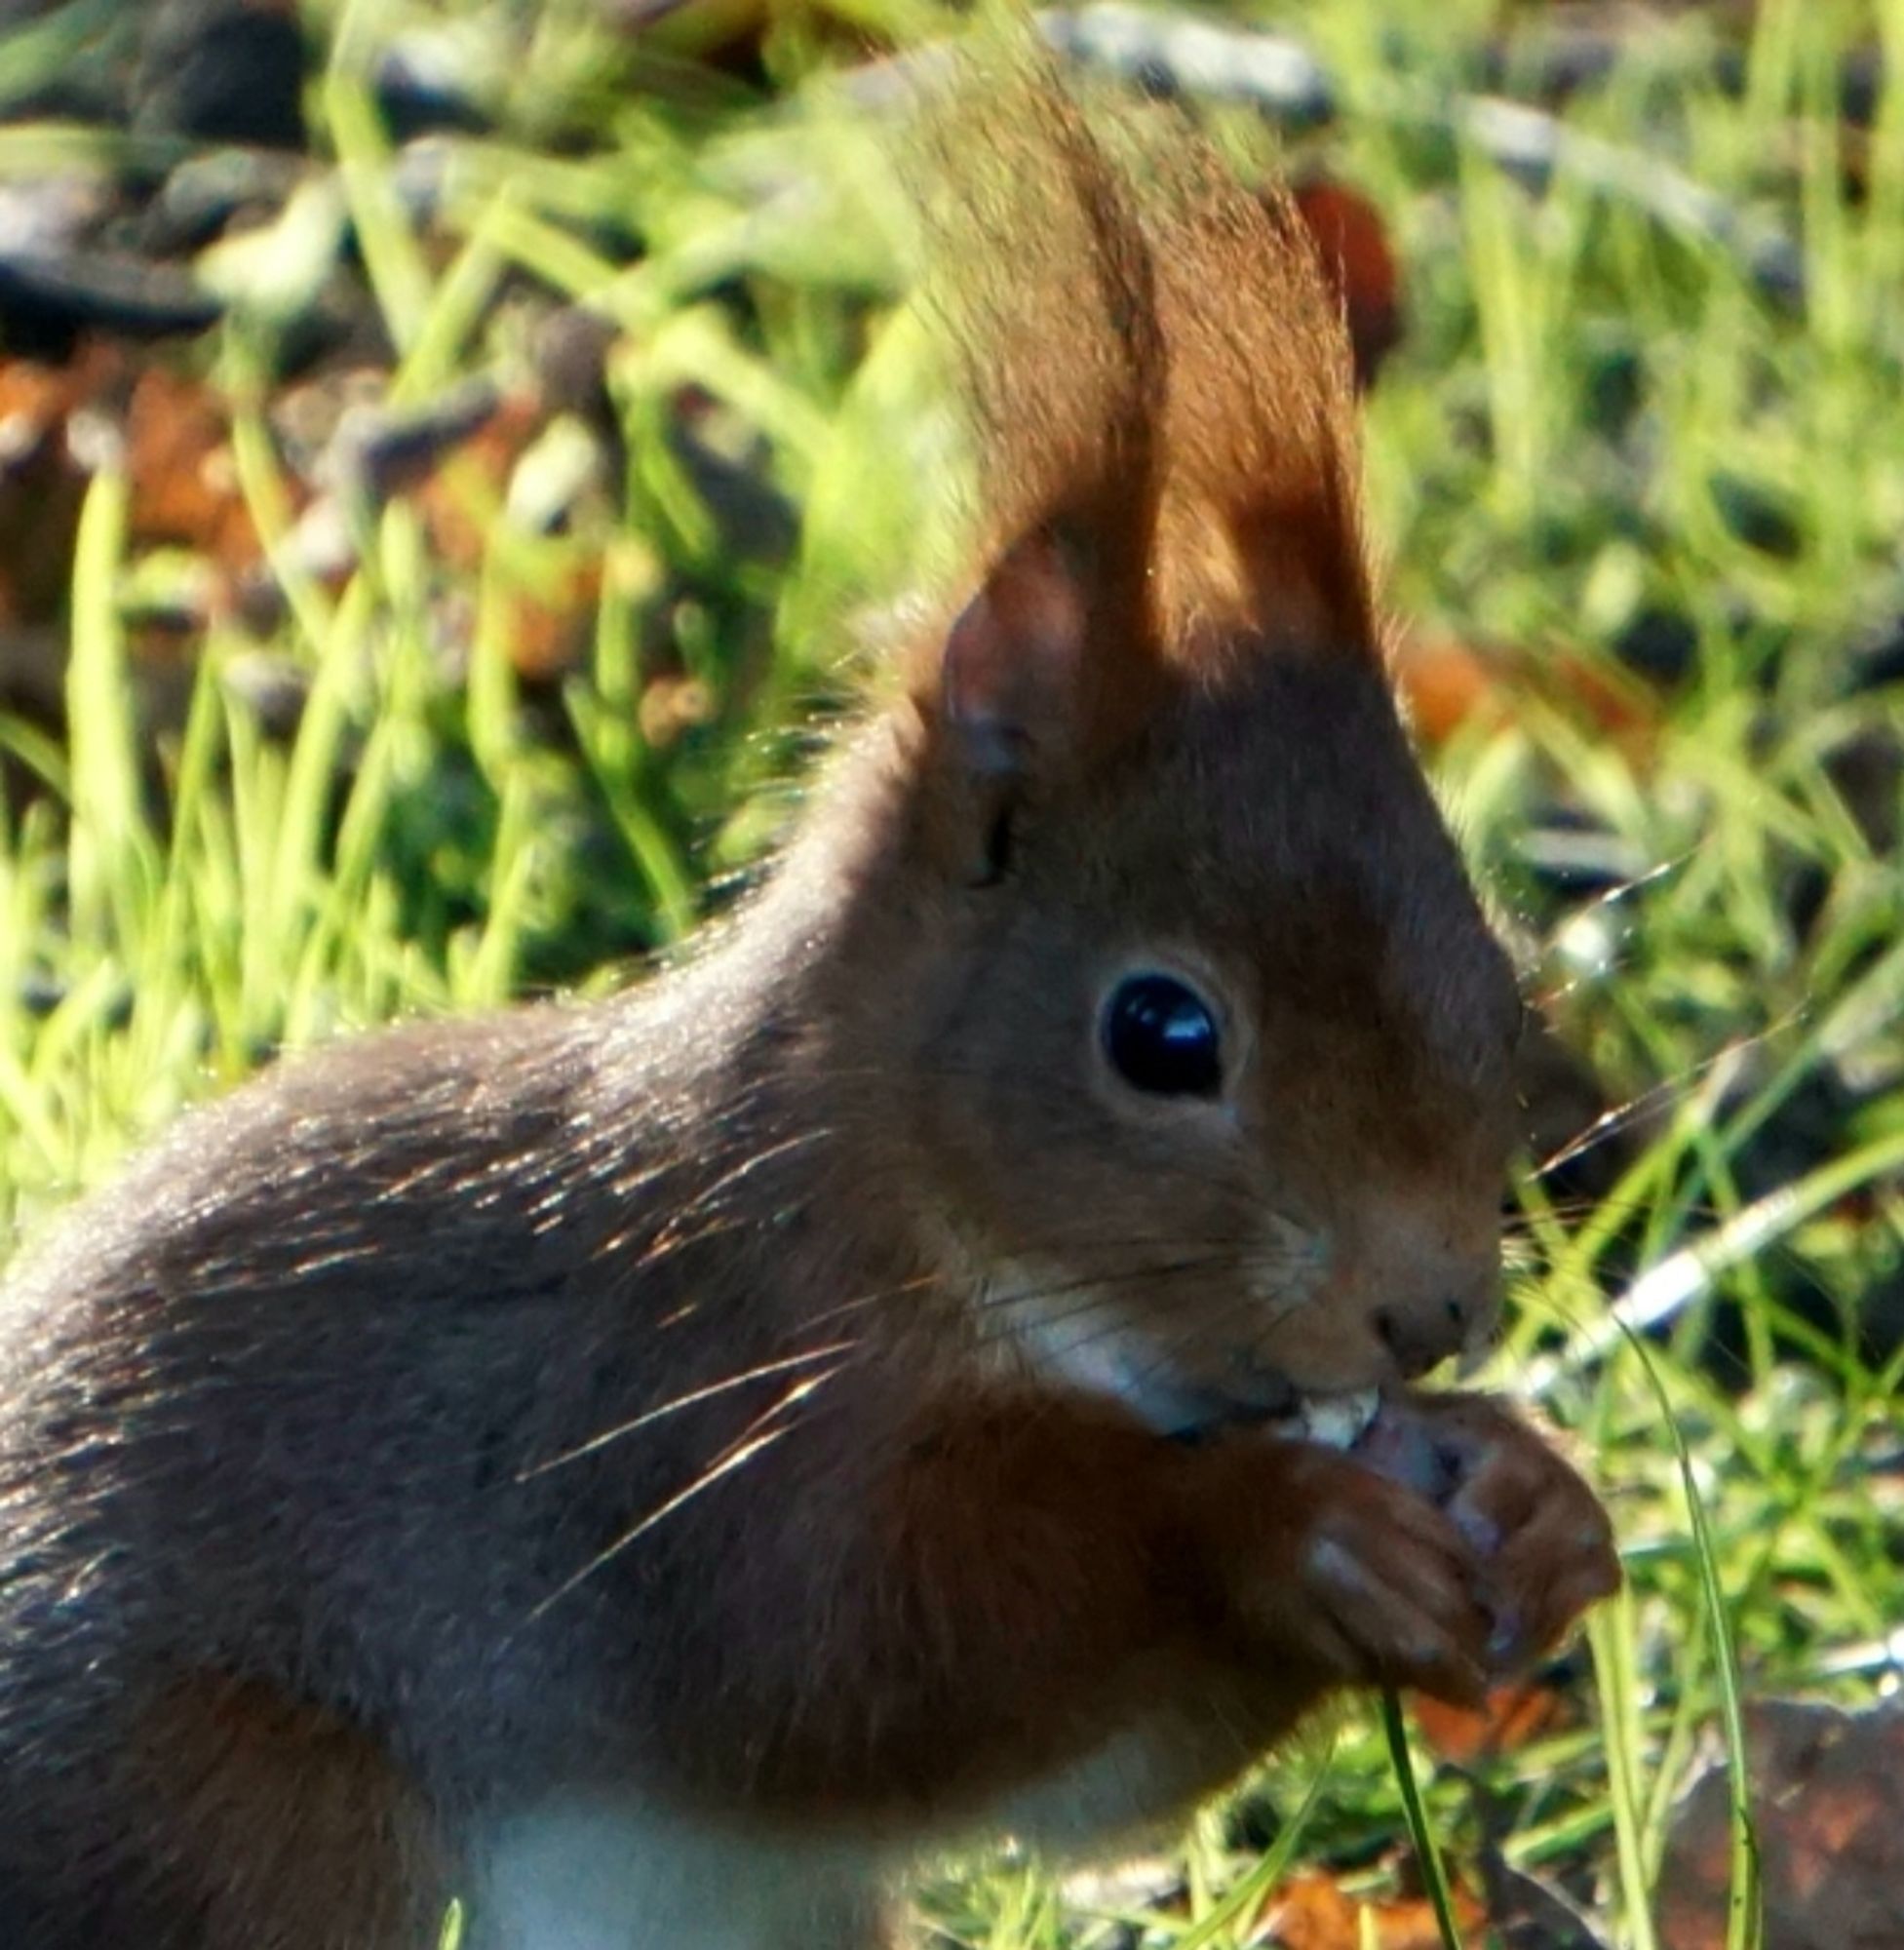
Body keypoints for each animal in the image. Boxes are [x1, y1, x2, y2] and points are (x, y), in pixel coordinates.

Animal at [0, 42, 1622, 1950]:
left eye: (1494, 969)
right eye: (1159, 1035)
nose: (1429, 1311)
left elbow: (1090, 1779)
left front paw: (1532, 1496)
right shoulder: (674, 1430)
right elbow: (857, 1654)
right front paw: (1276, 1524)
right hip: (239, 1823)